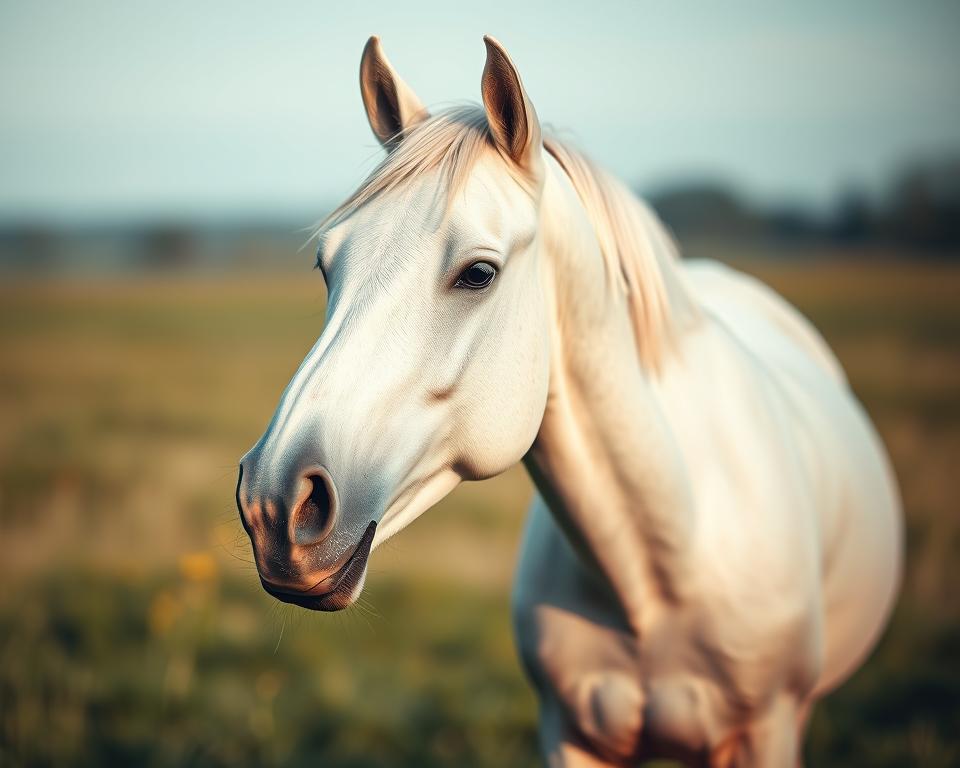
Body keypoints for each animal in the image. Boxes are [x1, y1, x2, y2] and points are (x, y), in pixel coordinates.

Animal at [236, 35, 902, 767]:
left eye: (479, 273)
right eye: (327, 267)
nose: (276, 506)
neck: (662, 561)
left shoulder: (765, 734)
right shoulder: (571, 733)